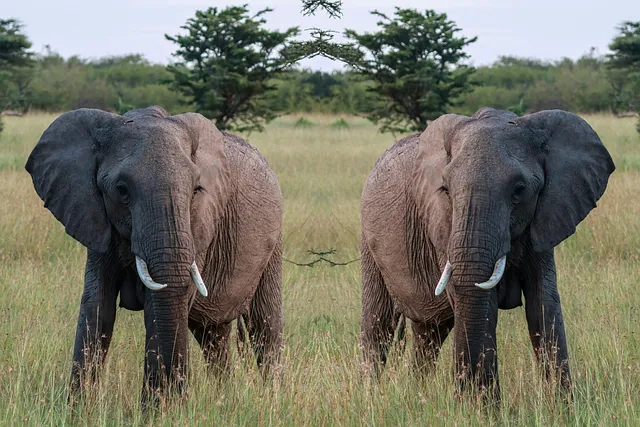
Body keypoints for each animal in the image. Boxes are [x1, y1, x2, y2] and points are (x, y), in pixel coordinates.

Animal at [25, 106, 283, 405]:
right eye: (121, 190)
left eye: (196, 189)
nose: (178, 396)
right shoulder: (96, 218)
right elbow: (97, 307)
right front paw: (78, 408)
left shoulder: (198, 226)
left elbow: (161, 307)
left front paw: (160, 410)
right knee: (213, 335)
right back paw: (224, 397)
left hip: (274, 243)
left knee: (264, 327)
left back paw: (274, 397)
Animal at [359, 107, 614, 401]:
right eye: (445, 189)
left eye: (519, 190)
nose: (462, 394)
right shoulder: (443, 226)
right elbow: (480, 305)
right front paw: (482, 409)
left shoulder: (545, 218)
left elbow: (543, 304)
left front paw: (562, 407)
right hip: (368, 242)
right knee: (379, 325)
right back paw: (369, 395)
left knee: (429, 333)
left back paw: (418, 394)